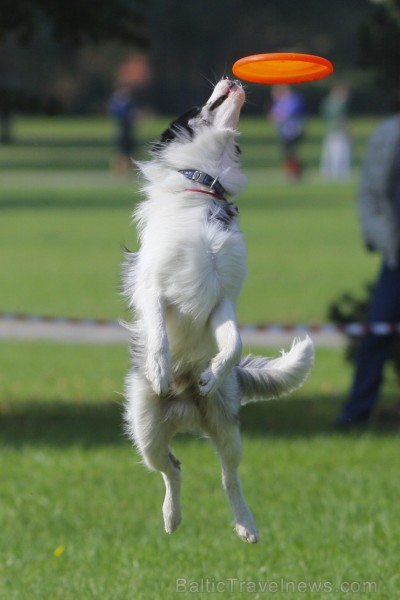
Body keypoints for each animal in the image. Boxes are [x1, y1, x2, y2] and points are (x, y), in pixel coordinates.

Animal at [120, 78, 314, 544]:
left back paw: (246, 524)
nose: (233, 79)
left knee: (229, 476)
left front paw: (213, 371)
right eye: (198, 107)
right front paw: (160, 367)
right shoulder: (154, 289)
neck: (204, 189)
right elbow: (158, 330)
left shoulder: (222, 300)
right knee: (171, 468)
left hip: (228, 429)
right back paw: (171, 517)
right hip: (144, 429)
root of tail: (186, 407)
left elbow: (234, 342)